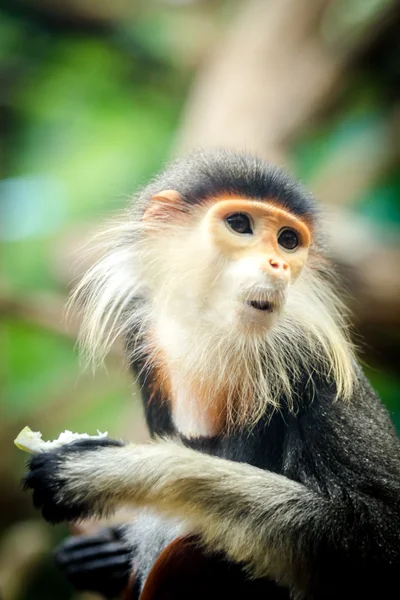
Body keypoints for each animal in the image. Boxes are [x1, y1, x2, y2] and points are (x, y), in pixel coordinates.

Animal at [23, 151, 398, 600]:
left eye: (288, 240)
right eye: (239, 224)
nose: (278, 263)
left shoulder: (313, 359)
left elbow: (367, 532)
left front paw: (104, 472)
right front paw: (101, 555)